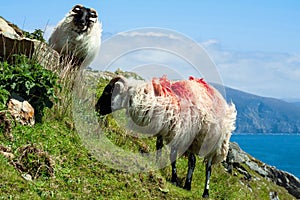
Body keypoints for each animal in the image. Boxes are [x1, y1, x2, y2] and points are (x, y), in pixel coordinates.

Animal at [96, 75, 237, 198]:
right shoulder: (163, 130)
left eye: (108, 91)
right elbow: (158, 147)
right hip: (193, 140)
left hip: (215, 143)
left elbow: (172, 156)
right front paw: (157, 164)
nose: (96, 108)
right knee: (192, 161)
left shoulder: (178, 133)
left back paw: (205, 192)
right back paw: (187, 185)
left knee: (208, 167)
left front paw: (174, 179)